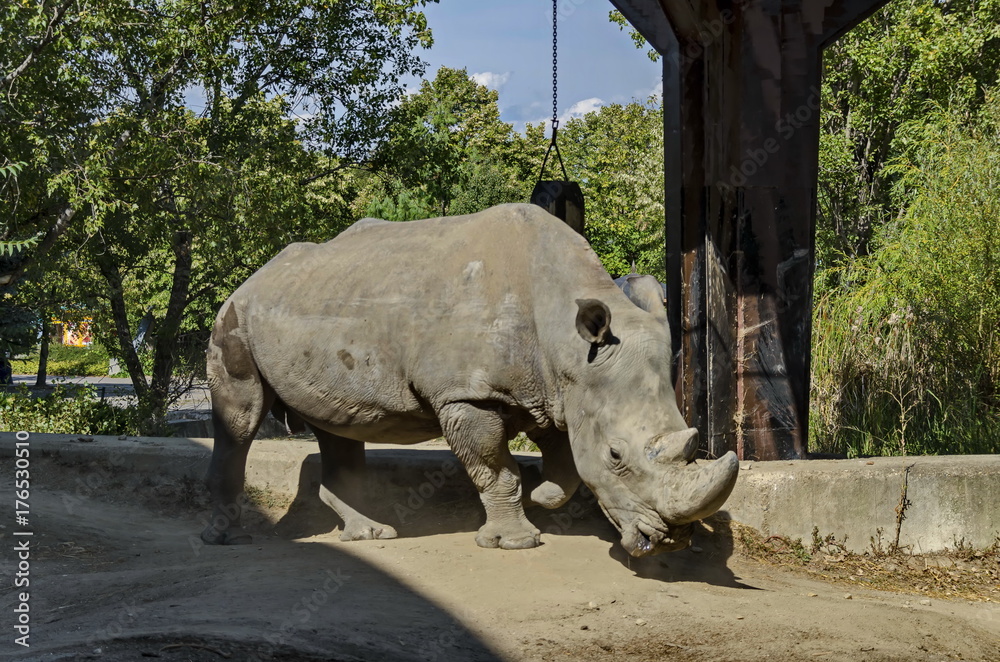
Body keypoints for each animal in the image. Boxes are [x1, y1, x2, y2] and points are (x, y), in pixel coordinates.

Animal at [201, 203, 738, 557]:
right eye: (615, 456)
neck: (566, 341)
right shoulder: (469, 394)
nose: (669, 541)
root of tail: (255, 275)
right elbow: (496, 469)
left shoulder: (549, 389)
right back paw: (229, 538)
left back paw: (372, 534)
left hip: (315, 307)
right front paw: (518, 541)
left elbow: (562, 456)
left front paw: (546, 495)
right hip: (234, 317)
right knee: (241, 420)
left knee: (340, 426)